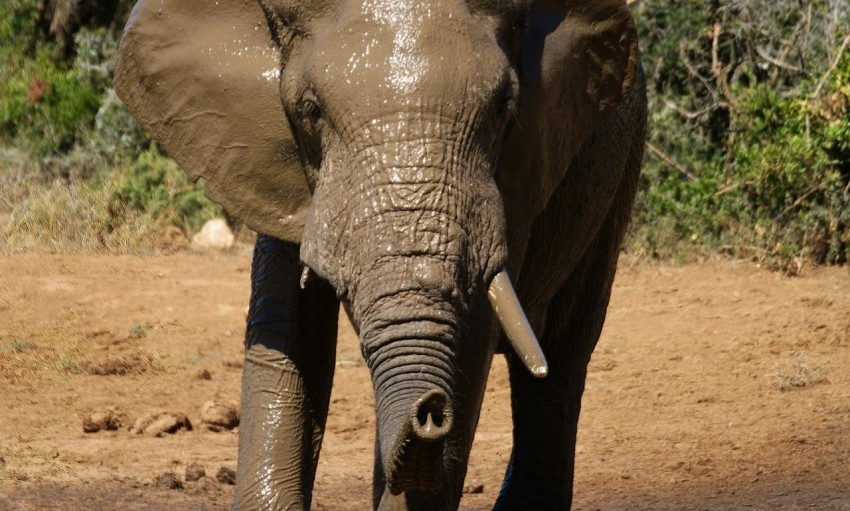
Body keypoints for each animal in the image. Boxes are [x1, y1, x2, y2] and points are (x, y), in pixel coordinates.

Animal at [112, 0, 644, 510]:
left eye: (503, 108)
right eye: (311, 110)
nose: (430, 409)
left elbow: (471, 336)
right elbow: (289, 327)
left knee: (563, 353)